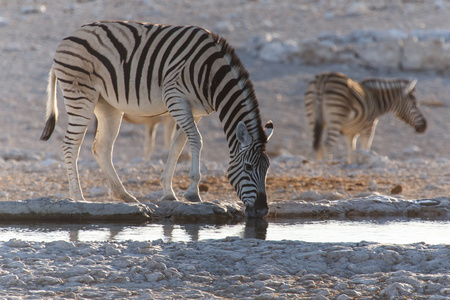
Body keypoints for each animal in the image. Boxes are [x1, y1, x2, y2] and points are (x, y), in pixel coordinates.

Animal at [41, 21, 274, 218]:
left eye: (267, 168)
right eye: (248, 168)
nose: (262, 211)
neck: (211, 74)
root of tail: (67, 37)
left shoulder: (194, 111)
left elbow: (177, 146)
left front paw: (168, 192)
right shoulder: (175, 98)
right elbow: (196, 140)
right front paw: (193, 192)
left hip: (107, 105)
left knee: (102, 148)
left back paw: (124, 195)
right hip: (81, 95)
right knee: (70, 144)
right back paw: (78, 197)